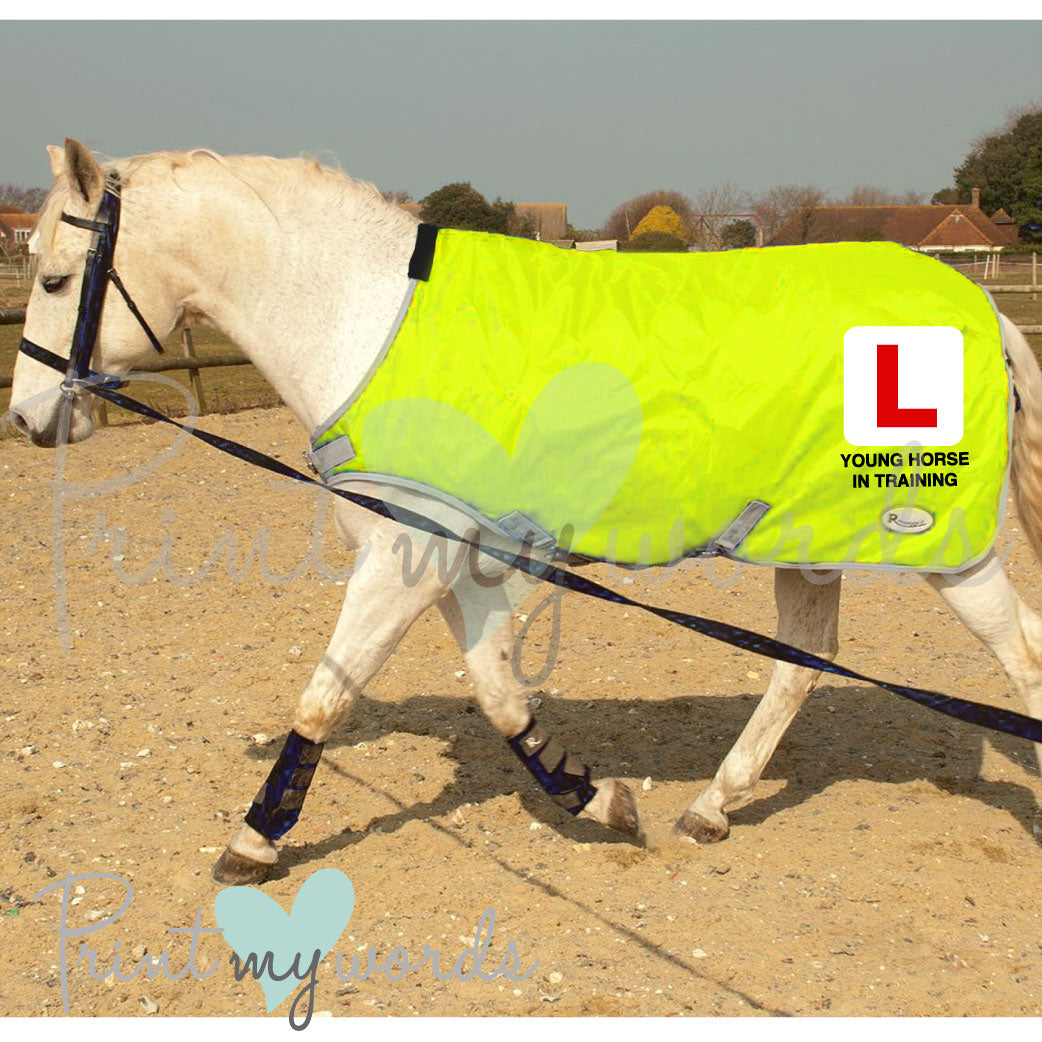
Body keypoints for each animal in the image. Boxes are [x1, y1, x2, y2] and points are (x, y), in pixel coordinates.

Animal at [9, 139, 1042, 886]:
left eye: (57, 278)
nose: (27, 418)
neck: (366, 319)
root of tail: (983, 308)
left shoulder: (403, 558)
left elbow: (326, 693)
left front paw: (257, 838)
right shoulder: (450, 555)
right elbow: (501, 696)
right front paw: (598, 799)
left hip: (945, 549)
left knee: (1019, 656)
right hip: (803, 535)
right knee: (803, 658)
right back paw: (714, 804)